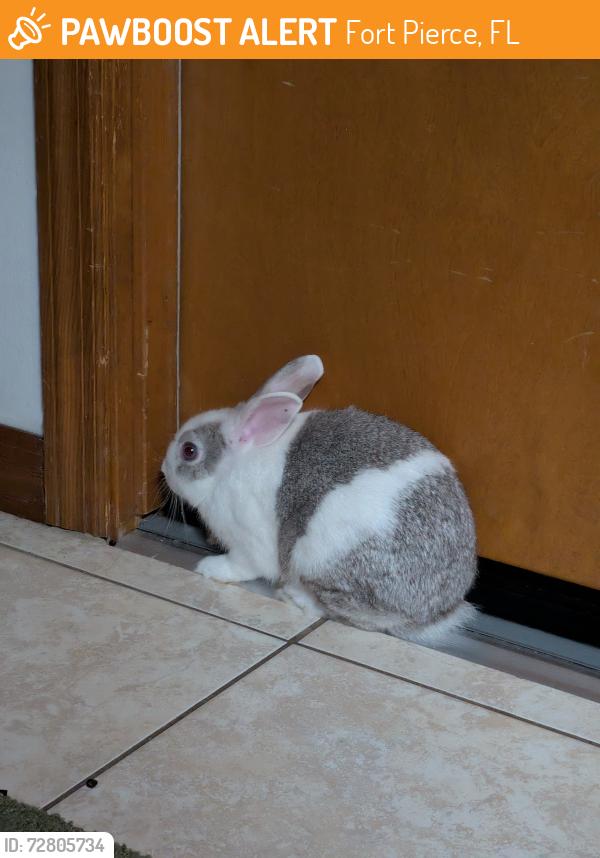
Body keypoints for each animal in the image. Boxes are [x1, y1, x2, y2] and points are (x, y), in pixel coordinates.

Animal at [162, 355, 477, 642]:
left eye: (189, 451)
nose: (163, 470)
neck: (231, 465)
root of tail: (437, 610)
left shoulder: (247, 542)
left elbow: (243, 565)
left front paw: (209, 568)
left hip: (319, 560)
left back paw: (294, 597)